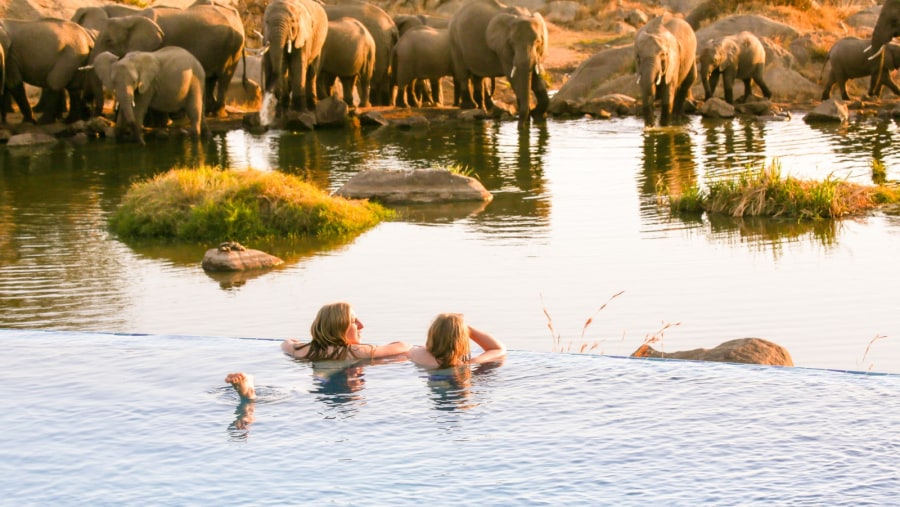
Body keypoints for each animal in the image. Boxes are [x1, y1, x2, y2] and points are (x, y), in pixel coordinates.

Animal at [90, 0, 248, 117]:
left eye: (109, 41)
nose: (97, 113)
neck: (131, 17)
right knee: (211, 79)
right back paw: (210, 111)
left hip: (234, 48)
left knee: (224, 77)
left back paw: (217, 113)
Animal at [448, 0, 548, 129]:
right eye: (511, 43)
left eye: (537, 42)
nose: (520, 126)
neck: (521, 14)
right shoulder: (503, 49)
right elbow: (514, 78)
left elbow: (536, 76)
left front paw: (538, 116)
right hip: (454, 42)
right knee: (463, 74)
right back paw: (469, 106)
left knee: (478, 77)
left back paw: (488, 109)